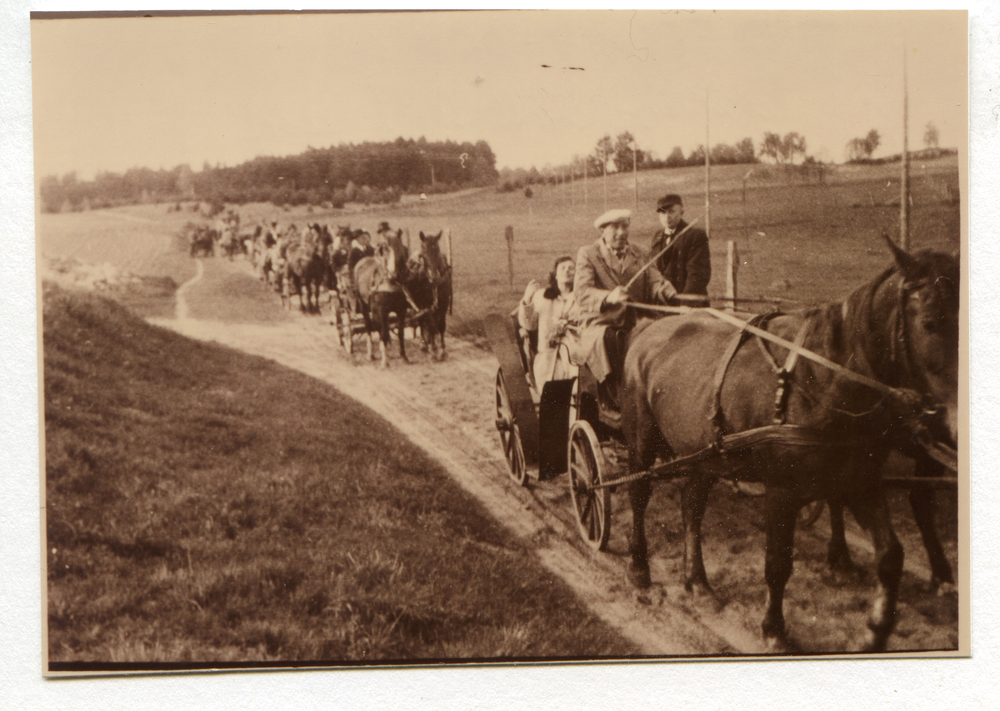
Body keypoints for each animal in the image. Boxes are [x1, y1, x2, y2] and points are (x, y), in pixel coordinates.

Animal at [356, 231, 410, 370]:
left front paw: (403, 356)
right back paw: (370, 354)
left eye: (402, 248)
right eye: (384, 249)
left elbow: (400, 332)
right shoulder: (382, 310)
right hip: (363, 305)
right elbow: (384, 332)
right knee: (369, 326)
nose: (395, 273)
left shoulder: (401, 310)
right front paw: (385, 361)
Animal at [406, 231, 454, 362]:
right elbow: (430, 325)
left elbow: (441, 325)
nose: (434, 276)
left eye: (437, 250)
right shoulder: (425, 304)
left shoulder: (444, 302)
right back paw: (425, 343)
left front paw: (442, 349)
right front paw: (433, 348)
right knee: (423, 321)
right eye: (423, 254)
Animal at [620, 238, 956, 652]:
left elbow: (891, 556)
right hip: (641, 439)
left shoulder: (858, 482)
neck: (821, 378)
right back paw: (638, 567)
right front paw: (774, 629)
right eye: (930, 322)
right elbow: (778, 563)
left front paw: (876, 629)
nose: (950, 419)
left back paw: (697, 581)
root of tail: (648, 327)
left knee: (691, 505)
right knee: (638, 494)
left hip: (706, 452)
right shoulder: (782, 491)